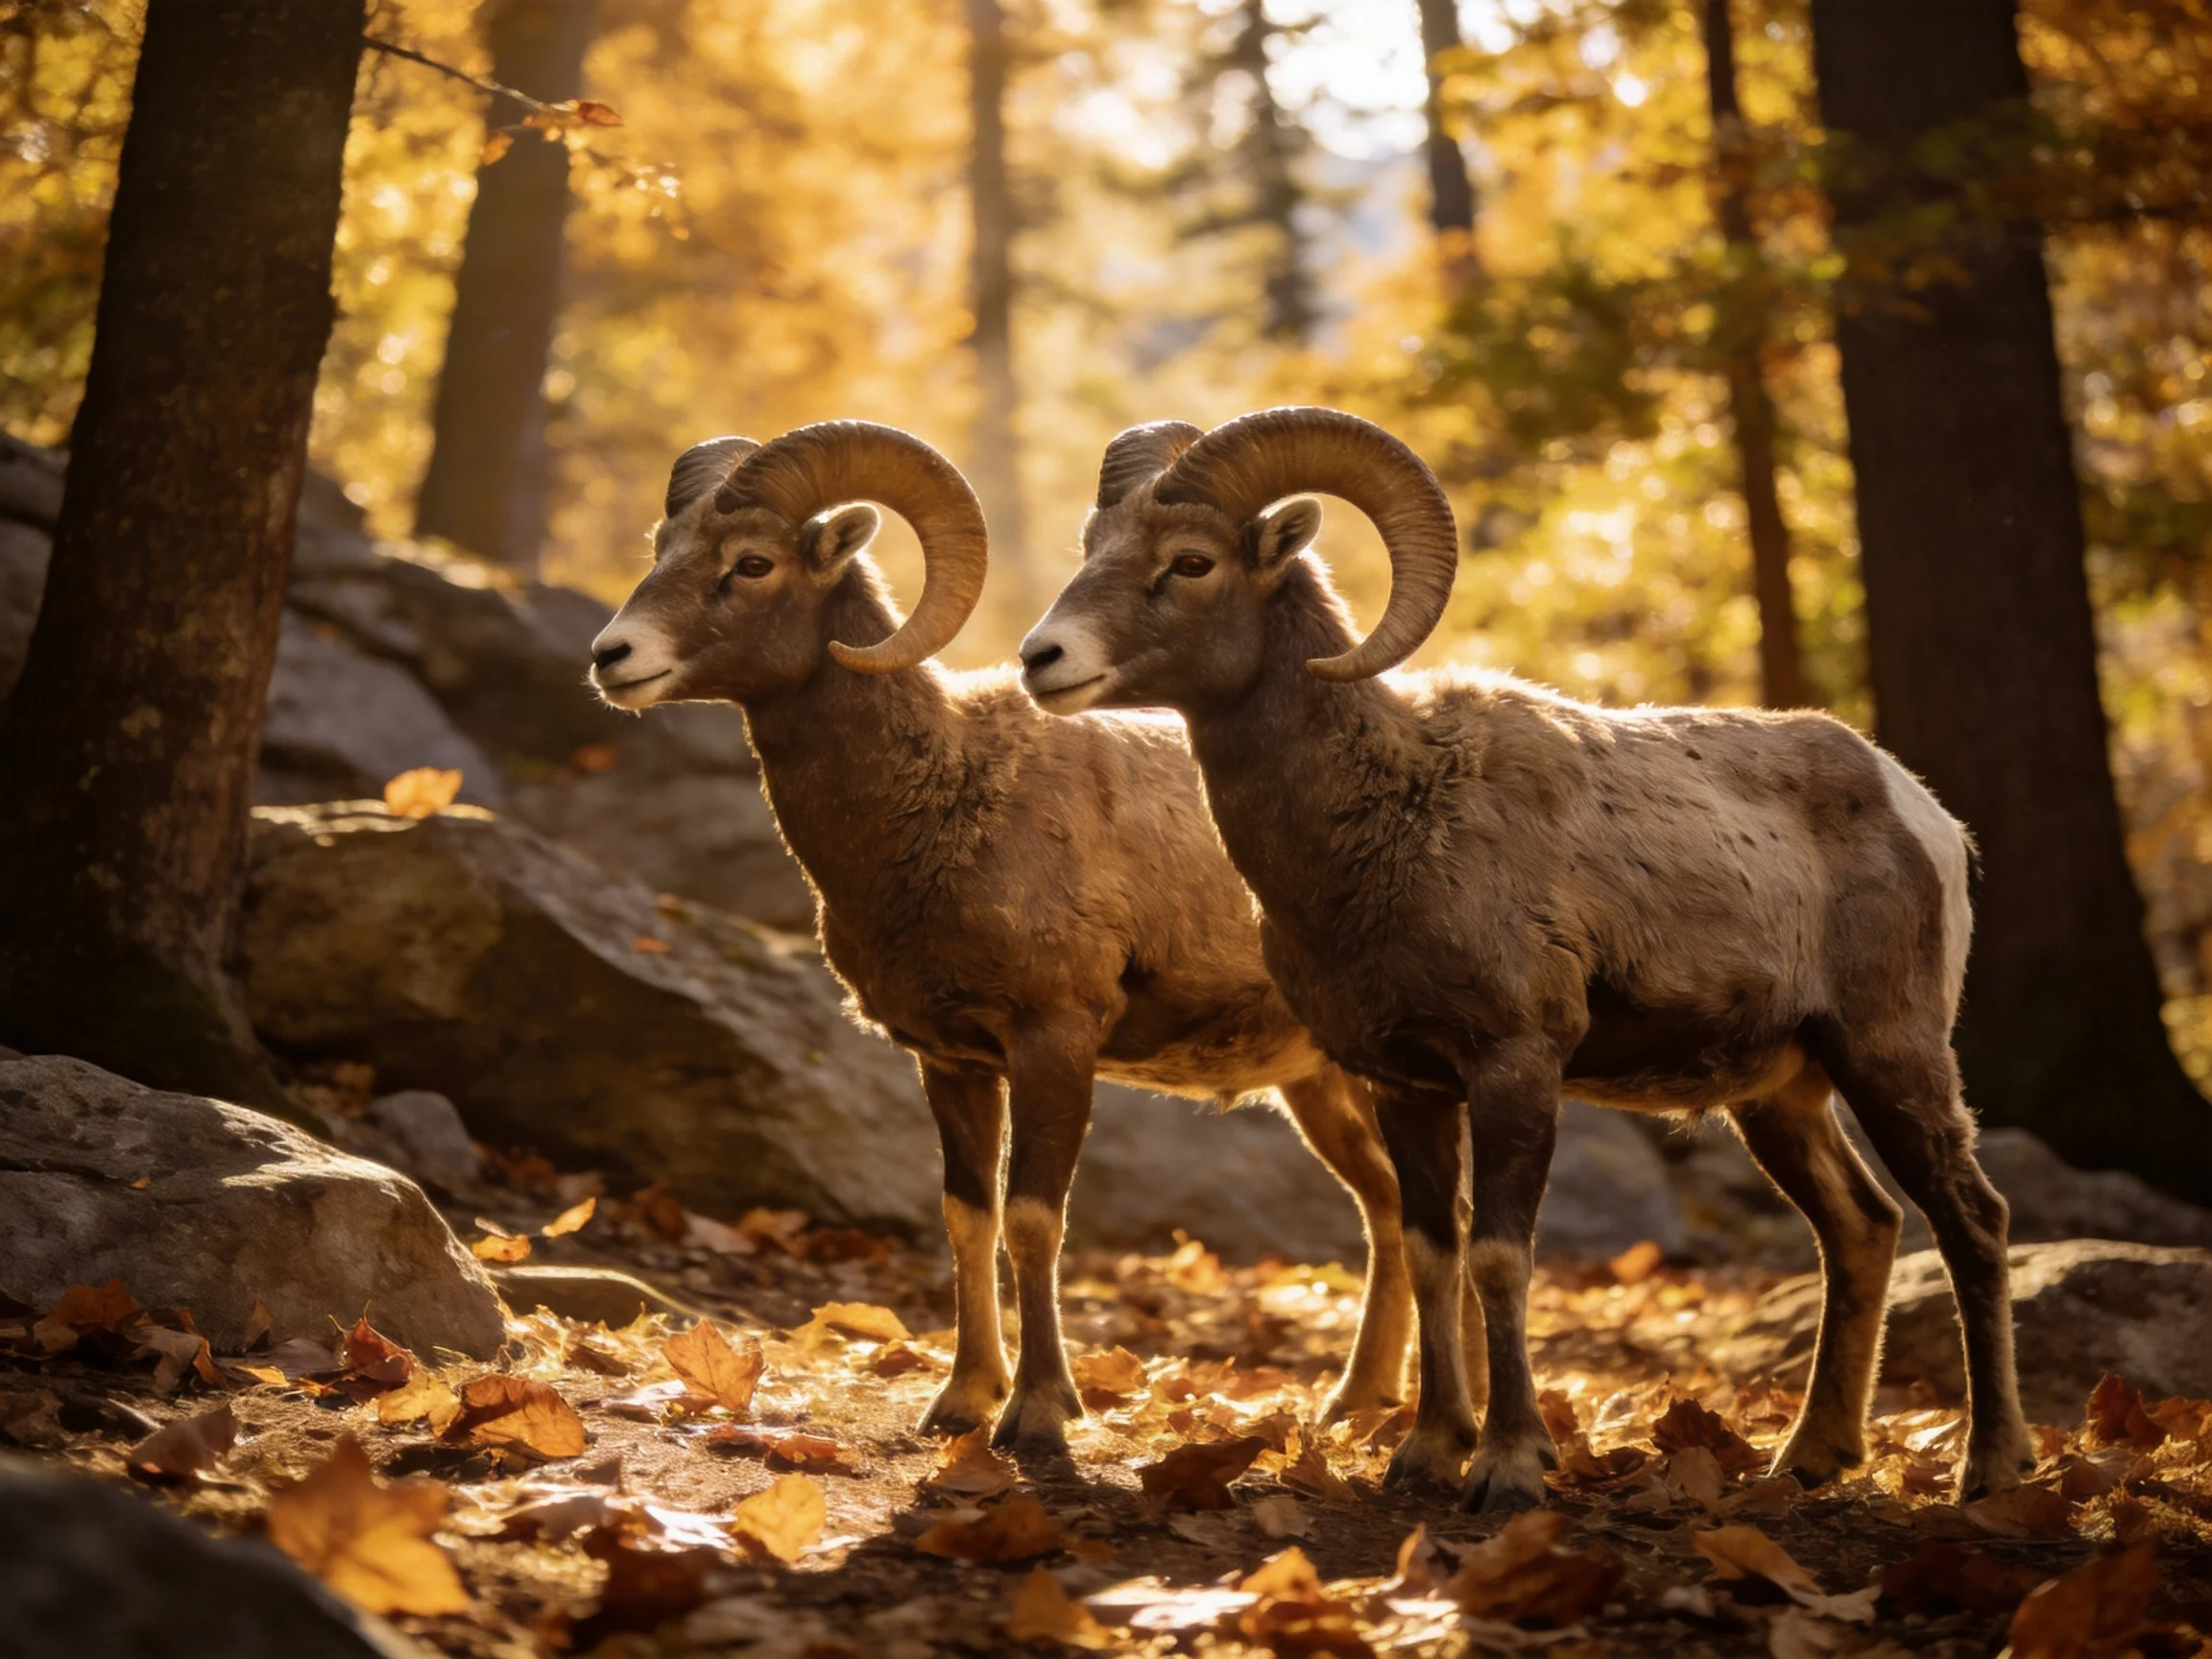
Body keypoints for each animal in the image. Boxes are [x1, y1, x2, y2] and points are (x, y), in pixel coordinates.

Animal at [586, 419, 1417, 1449]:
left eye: (751, 562)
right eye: (663, 548)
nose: (612, 656)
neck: (946, 796)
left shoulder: (1053, 1040)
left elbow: (1033, 1221)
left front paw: (1040, 1414)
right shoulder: (952, 1060)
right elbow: (967, 1218)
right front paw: (960, 1403)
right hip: (1323, 1088)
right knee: (1392, 1208)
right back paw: (1360, 1404)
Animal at [1017, 406, 2030, 1511]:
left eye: (1191, 562)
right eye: (1092, 545)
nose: (1042, 658)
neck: (1394, 813)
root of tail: (1925, 817)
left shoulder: (1515, 1066)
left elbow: (1500, 1258)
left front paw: (1507, 1467)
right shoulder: (1406, 1084)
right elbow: (1433, 1252)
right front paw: (1423, 1456)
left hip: (1890, 1058)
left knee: (1973, 1222)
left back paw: (1992, 1470)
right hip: (1782, 1097)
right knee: (1863, 1227)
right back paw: (1809, 1458)